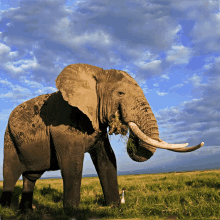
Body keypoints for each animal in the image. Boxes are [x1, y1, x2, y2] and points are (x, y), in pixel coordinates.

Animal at [0, 63, 204, 213]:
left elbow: (107, 160)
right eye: (120, 93)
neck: (96, 73)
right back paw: (7, 210)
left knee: (31, 177)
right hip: (8, 137)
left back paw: (26, 212)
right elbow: (72, 165)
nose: (121, 122)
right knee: (10, 173)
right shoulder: (63, 124)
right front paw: (72, 212)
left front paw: (114, 208)